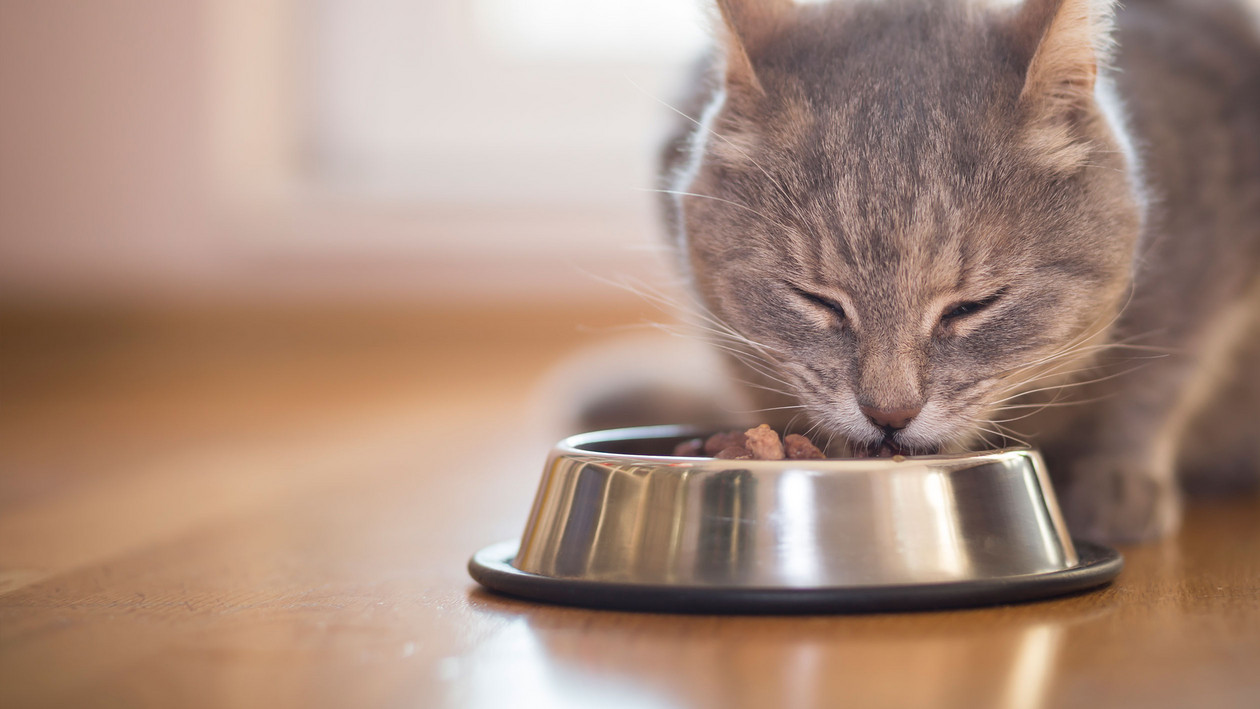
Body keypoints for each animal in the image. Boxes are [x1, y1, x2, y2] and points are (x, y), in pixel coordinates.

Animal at [655, 0, 1254, 544]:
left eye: (972, 307)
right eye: (817, 301)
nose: (889, 414)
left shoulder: (1204, 273)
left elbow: (1158, 386)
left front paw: (1119, 478)